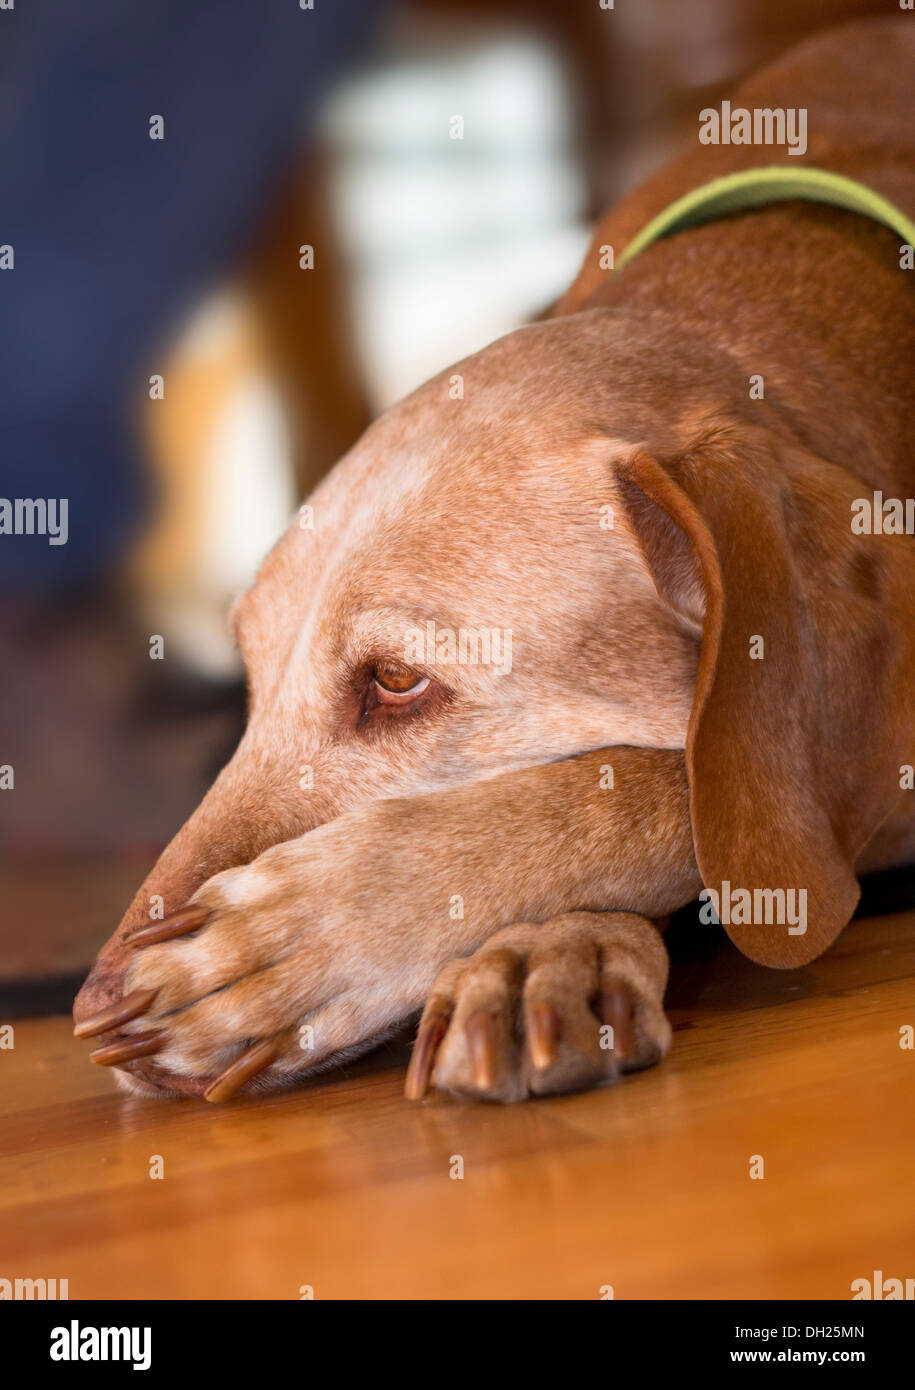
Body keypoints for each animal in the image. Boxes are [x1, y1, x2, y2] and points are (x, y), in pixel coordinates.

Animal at [73, 16, 912, 1100]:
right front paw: (550, 956)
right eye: (250, 672)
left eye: (396, 681)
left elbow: (665, 787)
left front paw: (303, 938)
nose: (89, 1009)